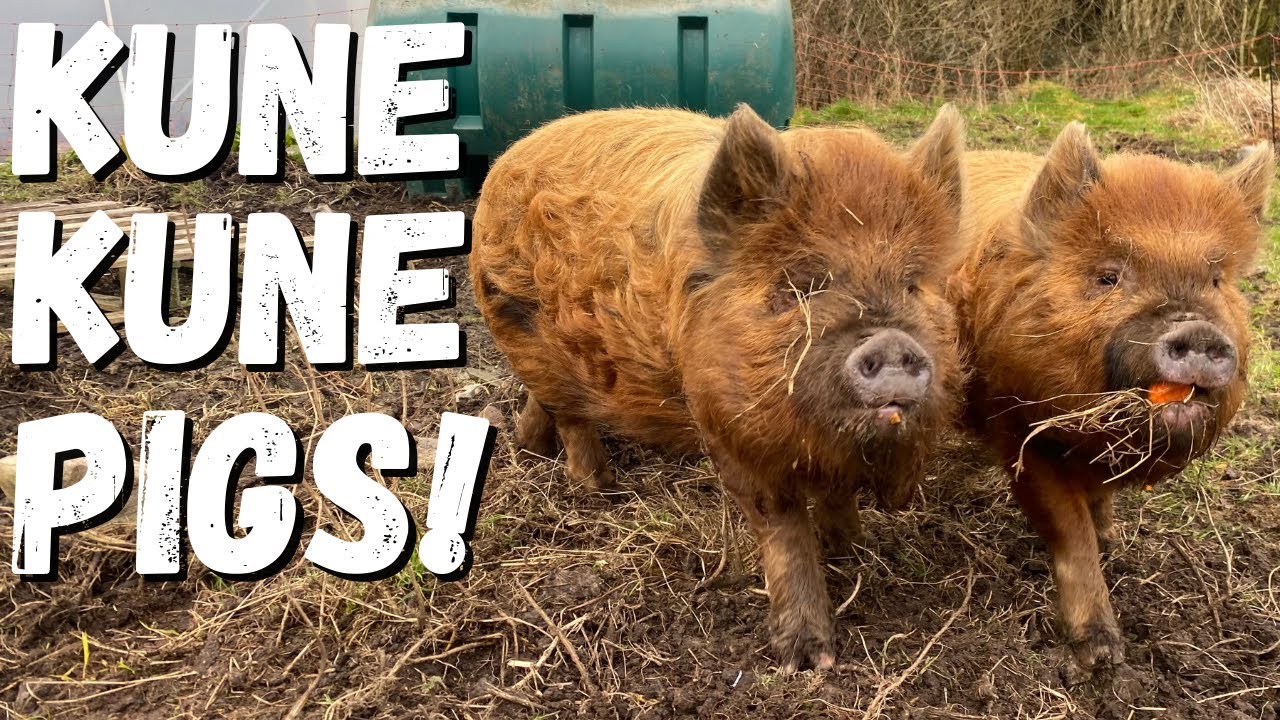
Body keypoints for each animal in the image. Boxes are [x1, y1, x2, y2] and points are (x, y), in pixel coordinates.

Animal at [470, 104, 968, 671]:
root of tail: (509, 158)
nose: (890, 340)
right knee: (572, 418)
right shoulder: (726, 425)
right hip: (526, 336)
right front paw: (809, 661)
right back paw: (602, 489)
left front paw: (853, 551)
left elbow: (838, 497)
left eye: (912, 283)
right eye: (804, 284)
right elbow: (781, 527)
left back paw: (532, 449)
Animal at [949, 122, 1273, 671]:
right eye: (1108, 276)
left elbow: (1099, 505)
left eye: (1215, 279)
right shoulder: (1020, 432)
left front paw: (1113, 542)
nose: (1198, 329)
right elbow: (1069, 531)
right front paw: (1102, 655)